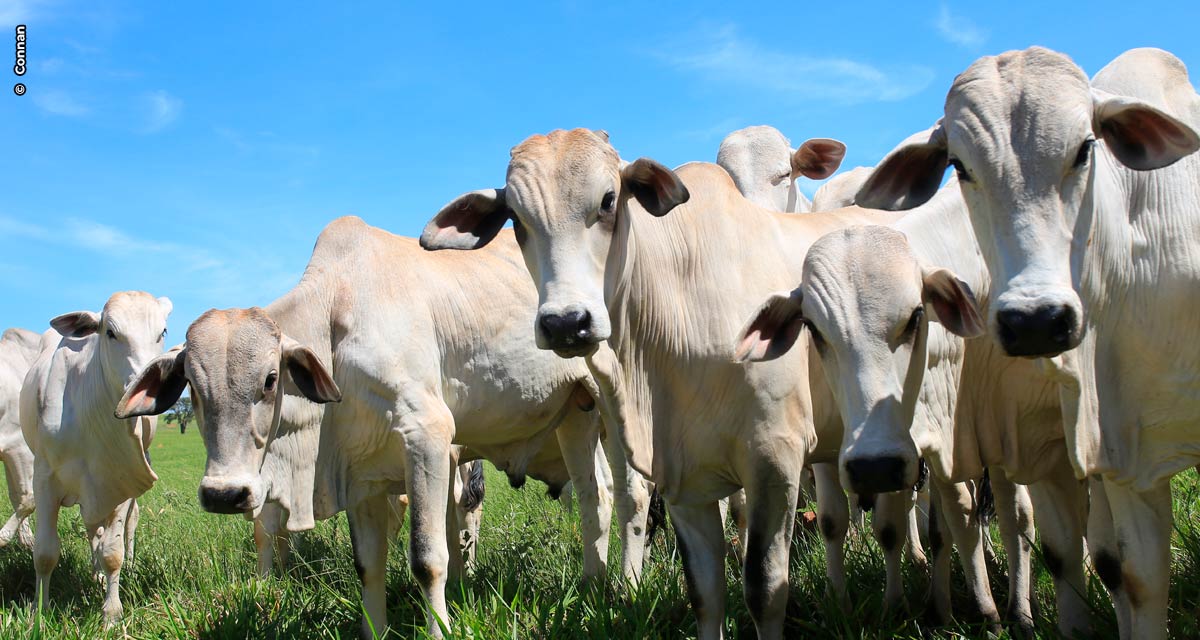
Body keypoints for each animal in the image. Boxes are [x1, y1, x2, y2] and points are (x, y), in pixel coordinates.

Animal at [19, 291, 171, 619]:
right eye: (110, 332)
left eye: (162, 332)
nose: (150, 387)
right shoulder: (44, 478)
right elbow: (45, 552)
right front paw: (40, 611)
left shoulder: (121, 479)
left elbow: (113, 552)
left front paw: (111, 613)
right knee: (91, 530)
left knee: (119, 527)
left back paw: (113, 571)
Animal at [118, 217, 648, 633]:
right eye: (190, 385)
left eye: (270, 379)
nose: (225, 495)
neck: (337, 324)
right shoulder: (360, 472)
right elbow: (368, 566)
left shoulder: (429, 439)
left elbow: (429, 559)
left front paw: (440, 626)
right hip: (576, 413)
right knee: (594, 500)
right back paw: (590, 586)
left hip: (616, 402)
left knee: (632, 496)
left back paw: (628, 588)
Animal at [422, 127, 902, 633]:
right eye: (515, 217)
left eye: (609, 199)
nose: (566, 323)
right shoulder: (681, 470)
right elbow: (704, 591)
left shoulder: (775, 460)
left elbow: (764, 586)